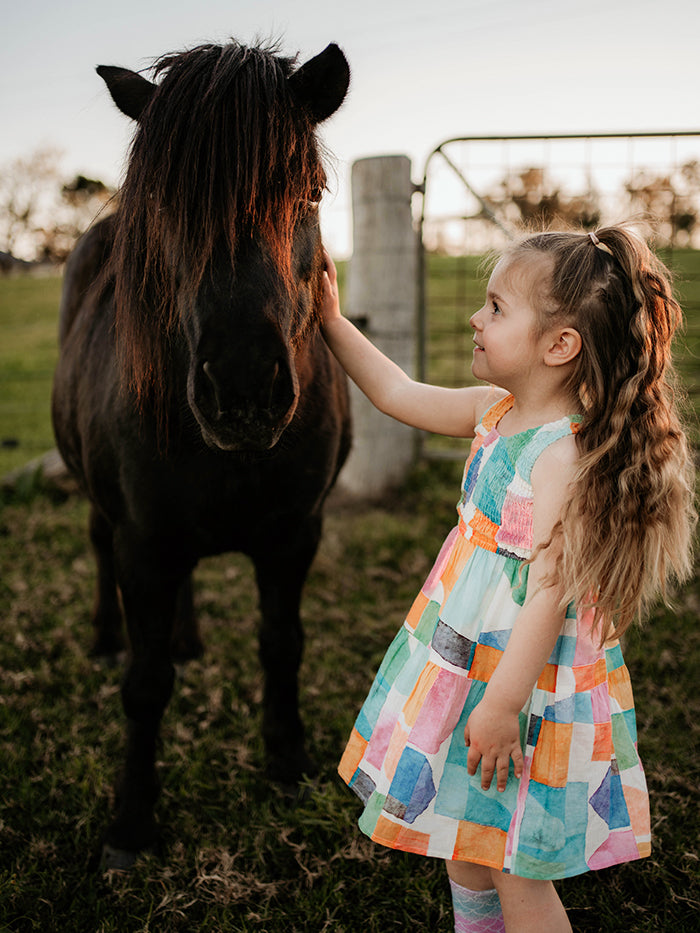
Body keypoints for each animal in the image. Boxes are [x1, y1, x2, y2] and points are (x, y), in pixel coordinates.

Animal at [52, 38, 352, 868]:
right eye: (164, 207)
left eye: (310, 192)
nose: (244, 387)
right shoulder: (143, 543)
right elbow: (145, 682)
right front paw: (131, 823)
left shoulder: (295, 535)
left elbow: (282, 645)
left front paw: (287, 764)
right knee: (96, 548)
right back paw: (102, 636)